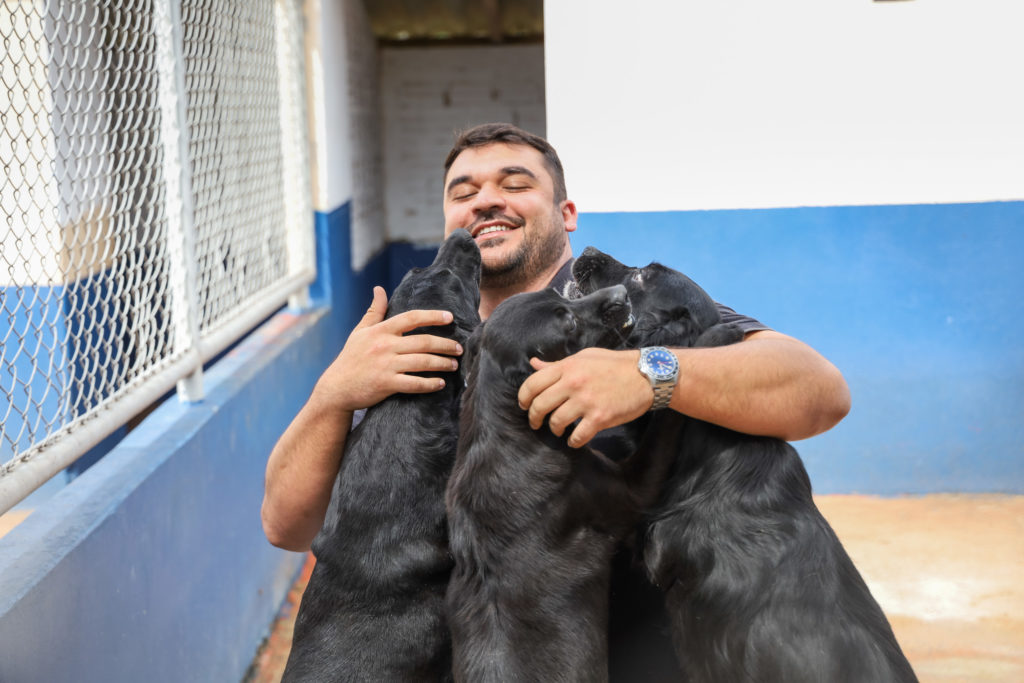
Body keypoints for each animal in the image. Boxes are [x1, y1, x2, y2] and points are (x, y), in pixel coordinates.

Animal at [444, 286, 675, 683]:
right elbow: (663, 426)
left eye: (556, 292)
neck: (513, 429)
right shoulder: (631, 489)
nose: (620, 292)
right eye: (568, 322)